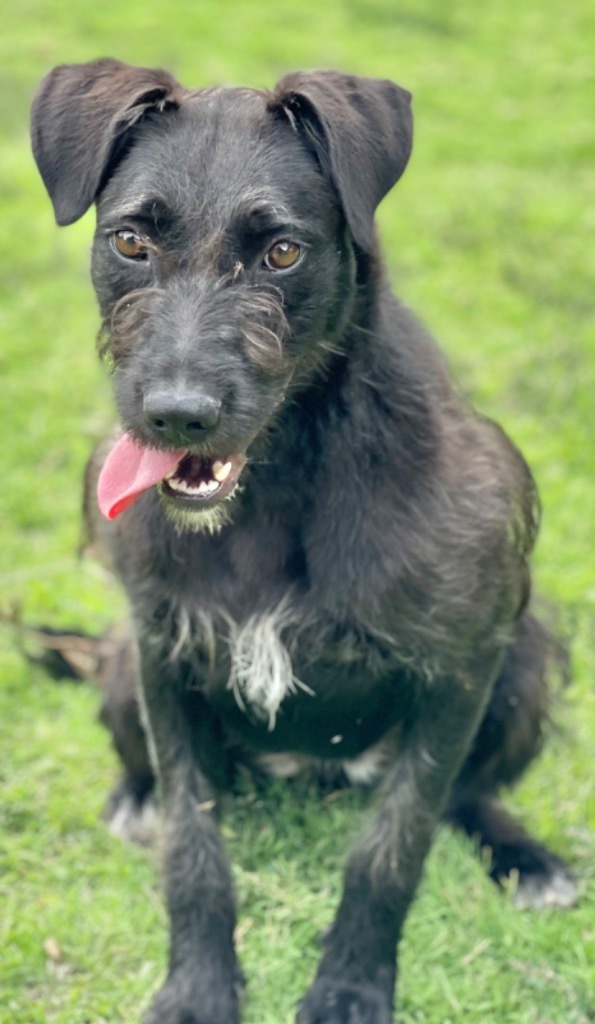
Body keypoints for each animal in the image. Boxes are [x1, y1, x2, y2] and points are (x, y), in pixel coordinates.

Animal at [29, 61, 573, 1024]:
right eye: (130, 240)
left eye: (281, 253)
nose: (175, 414)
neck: (276, 489)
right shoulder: (166, 655)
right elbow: (193, 843)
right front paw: (198, 986)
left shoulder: (464, 665)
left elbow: (394, 845)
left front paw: (351, 985)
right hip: (126, 660)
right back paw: (135, 796)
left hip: (528, 657)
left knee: (466, 791)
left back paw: (525, 858)